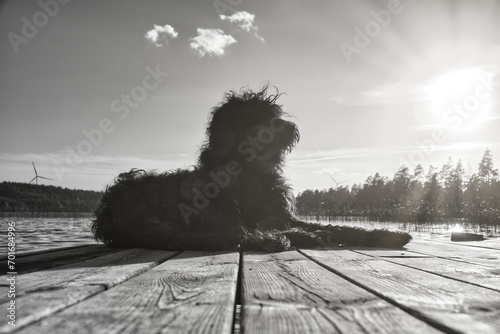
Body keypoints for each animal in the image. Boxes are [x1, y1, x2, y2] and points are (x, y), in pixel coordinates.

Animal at [92, 87, 412, 250]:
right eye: (254, 116)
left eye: (273, 112)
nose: (288, 127)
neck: (251, 167)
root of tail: (108, 214)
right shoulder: (260, 214)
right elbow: (276, 226)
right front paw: (308, 234)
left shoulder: (283, 214)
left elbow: (338, 224)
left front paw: (383, 234)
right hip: (205, 204)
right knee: (238, 235)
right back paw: (279, 240)